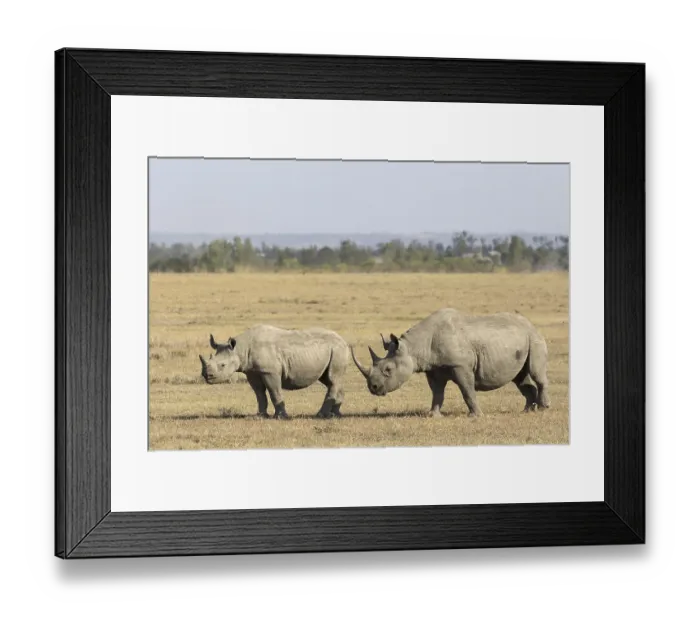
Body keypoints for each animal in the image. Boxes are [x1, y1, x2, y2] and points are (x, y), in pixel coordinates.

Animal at [199, 325, 349, 420]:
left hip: (337, 350)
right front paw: (260, 416)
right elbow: (260, 394)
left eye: (222, 365)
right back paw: (335, 415)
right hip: (331, 351)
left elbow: (274, 392)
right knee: (331, 380)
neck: (240, 349)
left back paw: (321, 415)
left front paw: (280, 417)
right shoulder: (252, 372)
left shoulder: (270, 371)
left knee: (332, 379)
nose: (208, 376)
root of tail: (344, 341)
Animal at [351, 308, 550, 417]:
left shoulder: (460, 366)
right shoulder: (434, 368)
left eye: (388, 369)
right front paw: (433, 415)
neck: (415, 347)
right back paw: (527, 411)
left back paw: (543, 408)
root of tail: (531, 324)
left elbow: (467, 391)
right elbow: (437, 392)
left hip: (534, 338)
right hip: (519, 340)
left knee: (536, 373)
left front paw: (476, 416)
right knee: (519, 378)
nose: (373, 388)